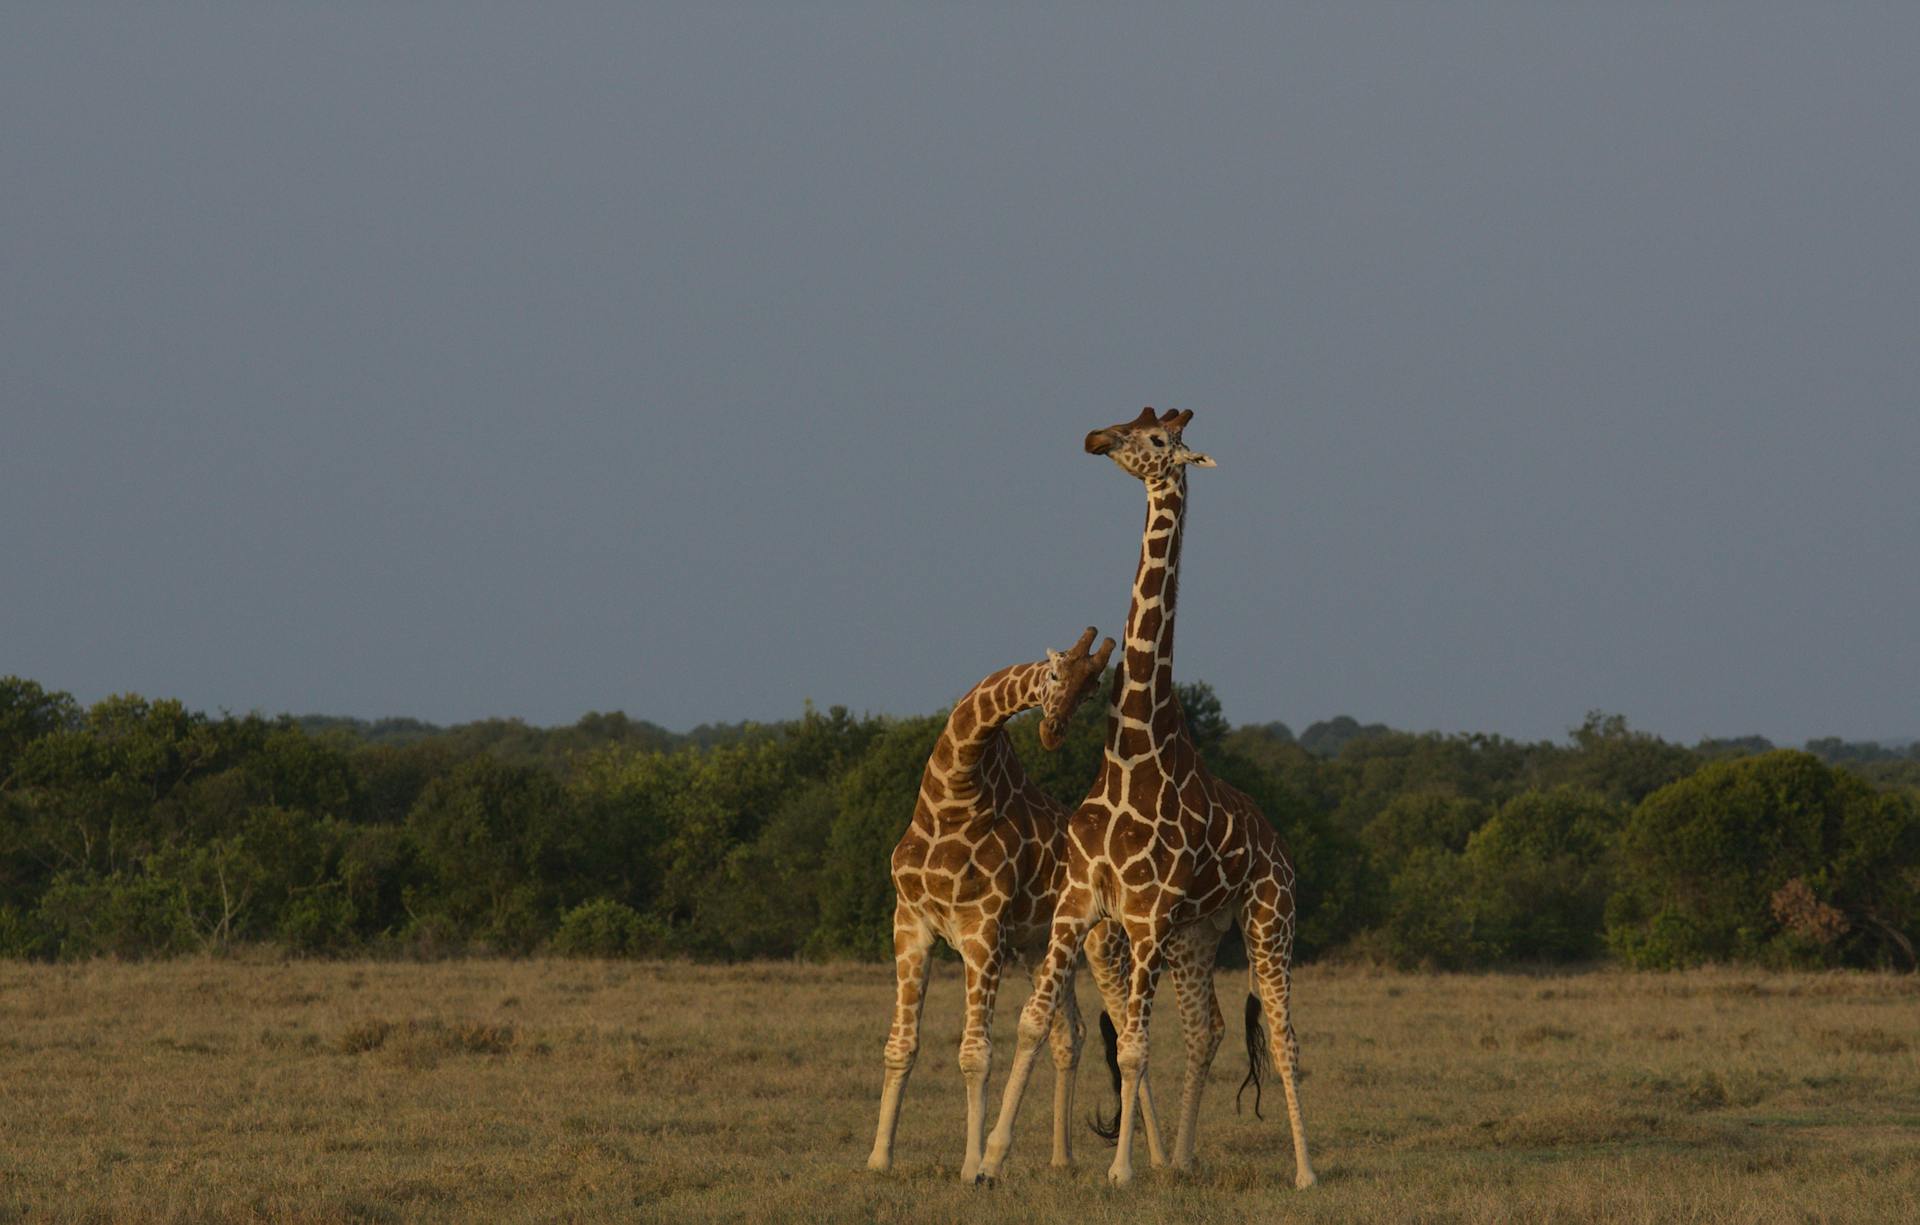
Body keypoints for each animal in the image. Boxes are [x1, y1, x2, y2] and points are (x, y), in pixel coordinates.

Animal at [871, 629, 1167, 1182]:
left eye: (1091, 690)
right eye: (1054, 674)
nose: (1051, 731)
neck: (952, 798)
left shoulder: (983, 931)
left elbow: (975, 1054)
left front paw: (972, 1166)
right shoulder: (910, 925)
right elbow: (901, 1046)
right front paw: (879, 1159)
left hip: (1104, 946)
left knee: (1123, 1030)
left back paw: (1155, 1158)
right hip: (1042, 949)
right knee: (1070, 1035)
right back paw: (1061, 1157)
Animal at [983, 410, 1313, 1190]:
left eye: (1160, 440)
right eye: (1131, 420)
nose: (1095, 439)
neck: (1132, 753)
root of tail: (1279, 843)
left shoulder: (1146, 916)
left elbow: (1132, 1046)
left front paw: (1122, 1170)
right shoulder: (1080, 905)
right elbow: (1034, 1023)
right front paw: (986, 1161)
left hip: (1267, 920)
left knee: (1283, 1036)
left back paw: (1305, 1171)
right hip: (1200, 934)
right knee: (1208, 1028)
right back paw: (1186, 1159)